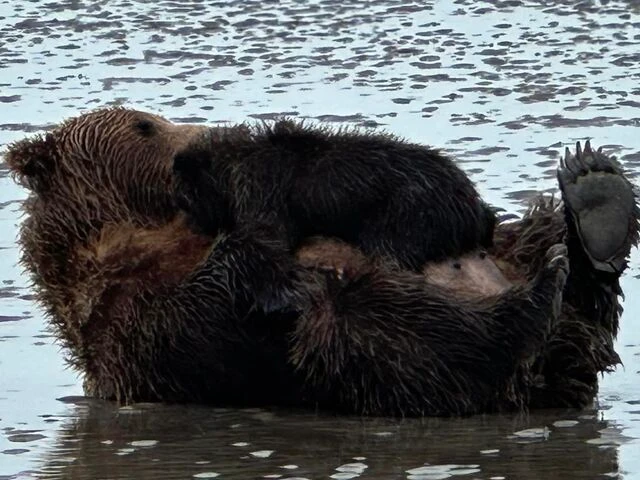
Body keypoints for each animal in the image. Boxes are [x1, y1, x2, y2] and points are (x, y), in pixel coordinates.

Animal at [4, 107, 637, 416]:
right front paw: (285, 280)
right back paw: (542, 286)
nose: (194, 135)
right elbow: (227, 287)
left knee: (543, 249)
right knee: (427, 337)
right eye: (143, 124)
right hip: (360, 341)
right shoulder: (137, 317)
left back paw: (593, 200)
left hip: (501, 249)